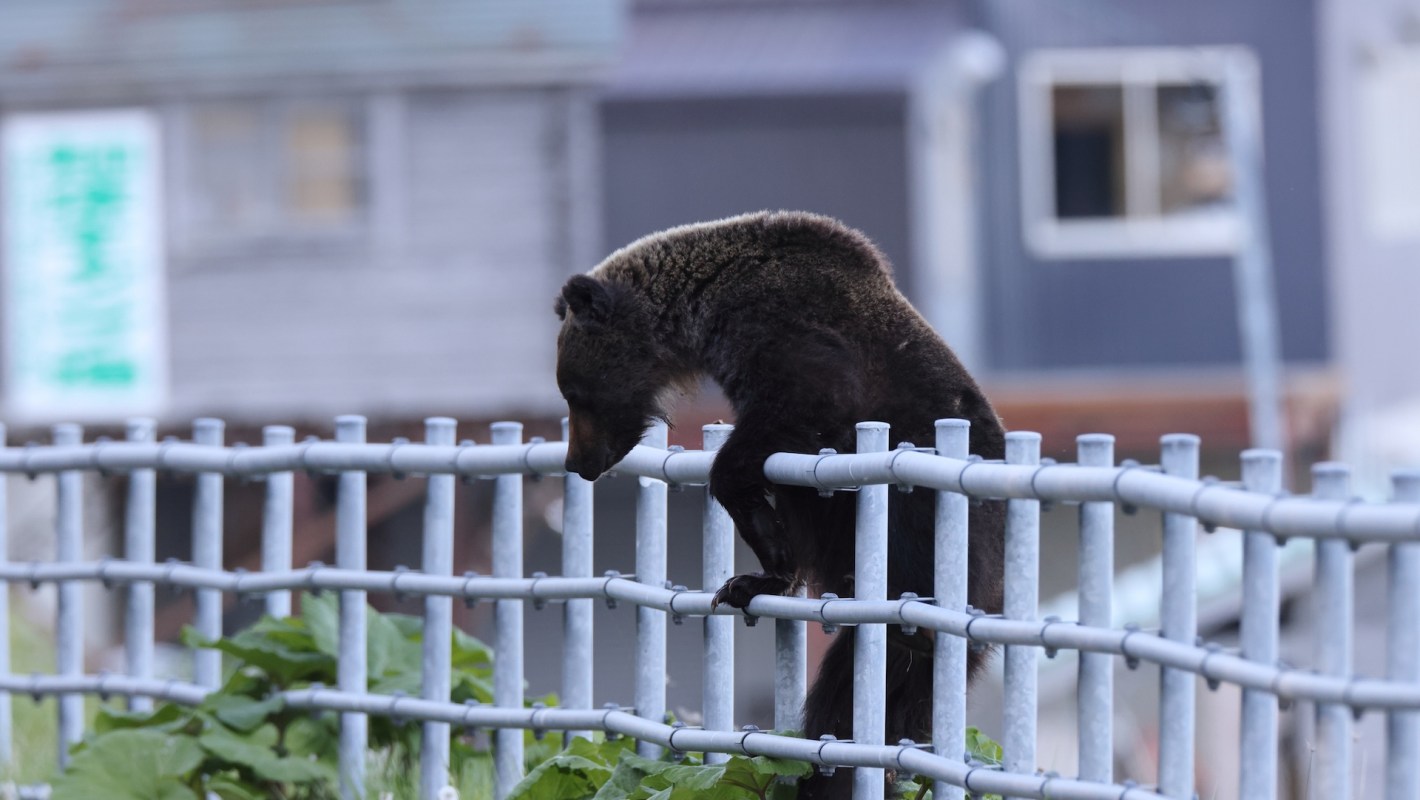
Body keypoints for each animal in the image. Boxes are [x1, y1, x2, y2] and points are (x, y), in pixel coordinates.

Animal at [553, 210, 1005, 800]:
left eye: (574, 392)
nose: (578, 461)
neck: (706, 308)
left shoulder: (792, 337)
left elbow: (791, 412)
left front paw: (763, 541)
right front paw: (751, 578)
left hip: (932, 520)